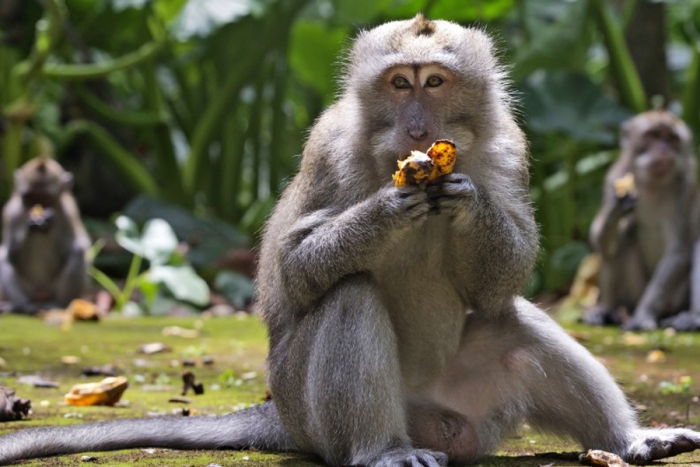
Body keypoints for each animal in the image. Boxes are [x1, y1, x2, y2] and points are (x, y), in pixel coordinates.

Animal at [0, 157, 90, 314]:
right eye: (30, 197)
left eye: (47, 199)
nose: (38, 206)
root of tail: (40, 294)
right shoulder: (12, 212)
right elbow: (11, 256)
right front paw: (31, 225)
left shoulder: (68, 213)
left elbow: (74, 247)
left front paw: (48, 222)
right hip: (28, 288)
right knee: (3, 257)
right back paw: (21, 306)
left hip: (53, 287)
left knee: (77, 250)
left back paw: (58, 304)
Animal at [584, 109, 700, 332]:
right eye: (653, 135)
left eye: (672, 139)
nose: (663, 150)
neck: (653, 183)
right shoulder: (615, 176)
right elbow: (598, 239)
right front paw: (617, 208)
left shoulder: (685, 187)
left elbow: (677, 250)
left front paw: (643, 316)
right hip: (633, 293)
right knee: (621, 241)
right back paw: (606, 310)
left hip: (675, 300)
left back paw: (692, 317)